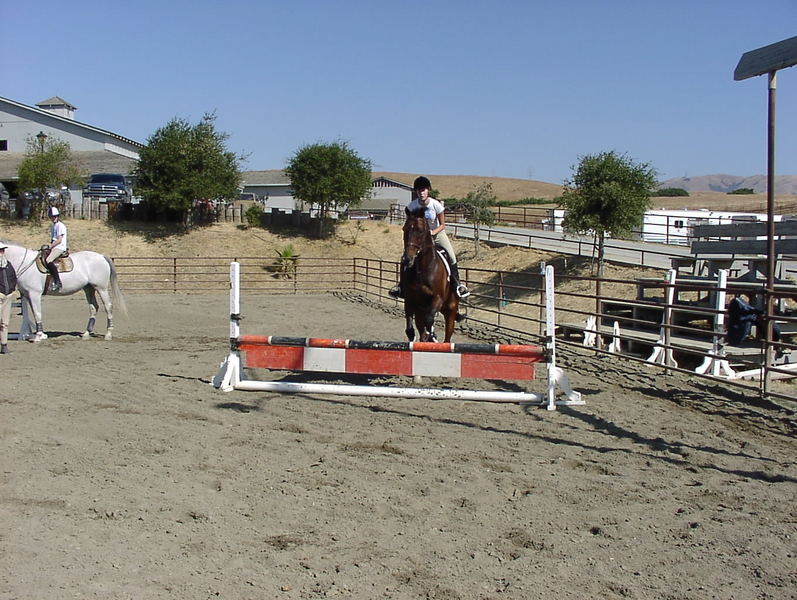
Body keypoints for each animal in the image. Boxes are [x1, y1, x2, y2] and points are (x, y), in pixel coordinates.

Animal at [400, 209, 461, 342]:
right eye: (404, 229)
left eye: (420, 231)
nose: (407, 259)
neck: (422, 269)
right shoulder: (410, 300)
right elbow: (410, 329)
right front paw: (426, 336)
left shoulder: (437, 298)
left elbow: (429, 320)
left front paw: (432, 335)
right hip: (421, 310)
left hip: (450, 310)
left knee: (447, 337)